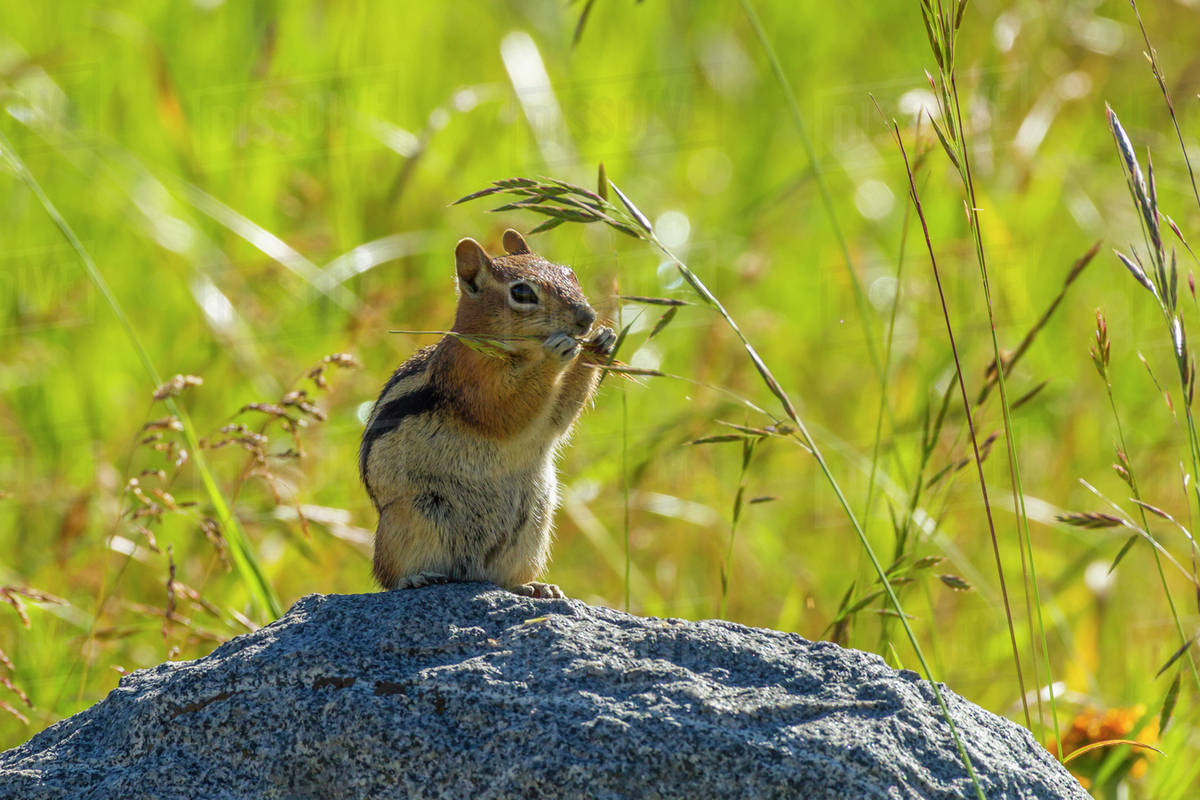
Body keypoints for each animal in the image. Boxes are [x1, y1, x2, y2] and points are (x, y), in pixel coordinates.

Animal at [359, 229, 615, 599]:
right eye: (522, 293)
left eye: (572, 275)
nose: (586, 318)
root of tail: (471, 573)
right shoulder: (472, 378)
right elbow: (506, 410)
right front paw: (557, 353)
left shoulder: (547, 417)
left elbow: (558, 416)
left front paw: (600, 343)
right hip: (408, 521)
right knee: (389, 577)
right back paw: (417, 578)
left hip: (532, 530)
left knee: (504, 578)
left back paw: (534, 587)